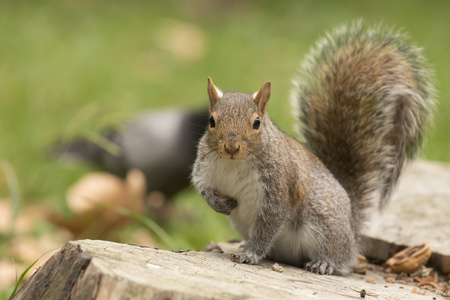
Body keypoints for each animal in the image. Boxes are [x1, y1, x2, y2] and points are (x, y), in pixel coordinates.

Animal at [191, 20, 436, 274]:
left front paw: (251, 254)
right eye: (211, 121)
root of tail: (352, 231)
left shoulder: (280, 187)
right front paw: (218, 204)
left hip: (323, 226)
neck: (235, 163)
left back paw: (324, 263)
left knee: (342, 260)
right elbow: (202, 187)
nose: (231, 147)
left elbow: (268, 225)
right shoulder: (204, 168)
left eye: (256, 123)